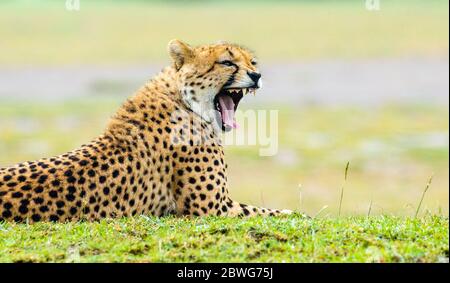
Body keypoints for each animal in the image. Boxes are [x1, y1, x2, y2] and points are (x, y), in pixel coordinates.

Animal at [0, 40, 292, 223]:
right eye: (227, 63)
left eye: (252, 61)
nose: (256, 75)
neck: (182, 99)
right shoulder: (213, 208)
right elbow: (281, 213)